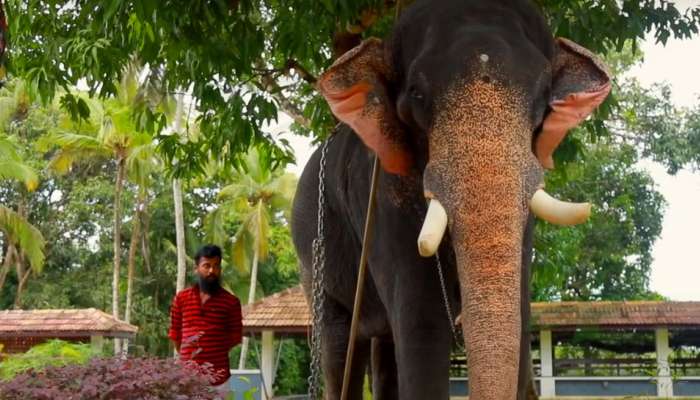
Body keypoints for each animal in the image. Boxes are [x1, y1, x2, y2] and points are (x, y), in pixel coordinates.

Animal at [288, 0, 608, 400]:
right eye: (417, 95)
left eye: (542, 96)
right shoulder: (379, 197)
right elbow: (422, 325)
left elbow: (519, 319)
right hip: (313, 261)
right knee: (340, 345)